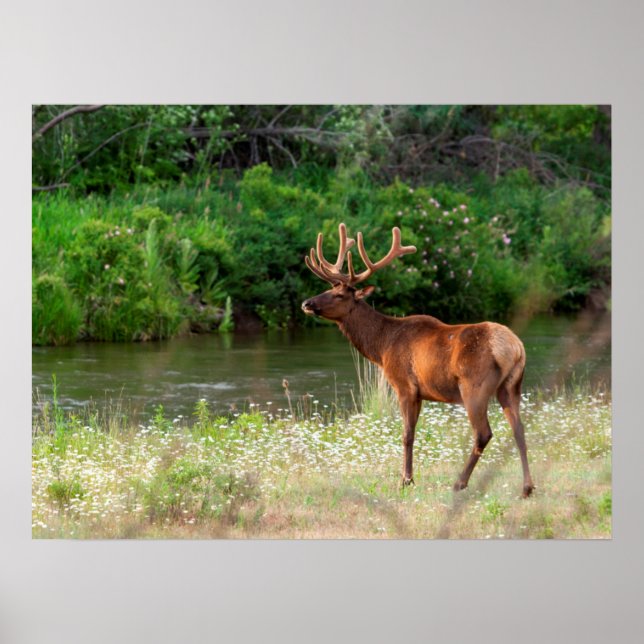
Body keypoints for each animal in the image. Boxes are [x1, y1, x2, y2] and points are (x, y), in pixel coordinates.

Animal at [301, 223, 534, 498]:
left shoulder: (404, 385)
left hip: (474, 386)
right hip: (511, 386)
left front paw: (406, 480)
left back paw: (460, 483)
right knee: (519, 430)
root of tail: (515, 347)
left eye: (339, 295)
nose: (307, 303)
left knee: (483, 433)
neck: (382, 346)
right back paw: (527, 487)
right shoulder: (421, 393)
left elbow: (407, 435)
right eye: (328, 288)